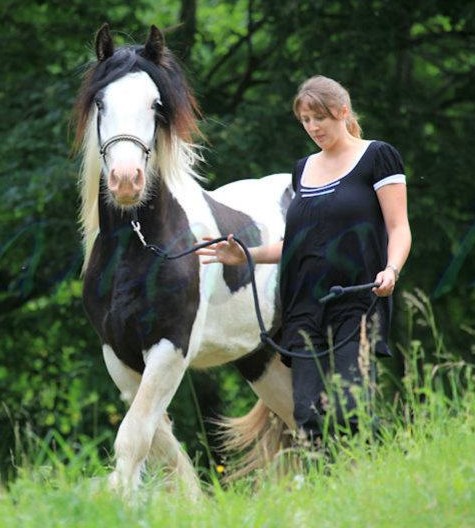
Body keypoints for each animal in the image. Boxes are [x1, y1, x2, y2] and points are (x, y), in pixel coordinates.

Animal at [73, 24, 298, 496]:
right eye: (101, 103)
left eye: (155, 104)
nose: (126, 181)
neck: (137, 249)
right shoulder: (118, 354)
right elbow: (159, 443)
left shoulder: (170, 346)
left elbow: (135, 436)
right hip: (263, 361)